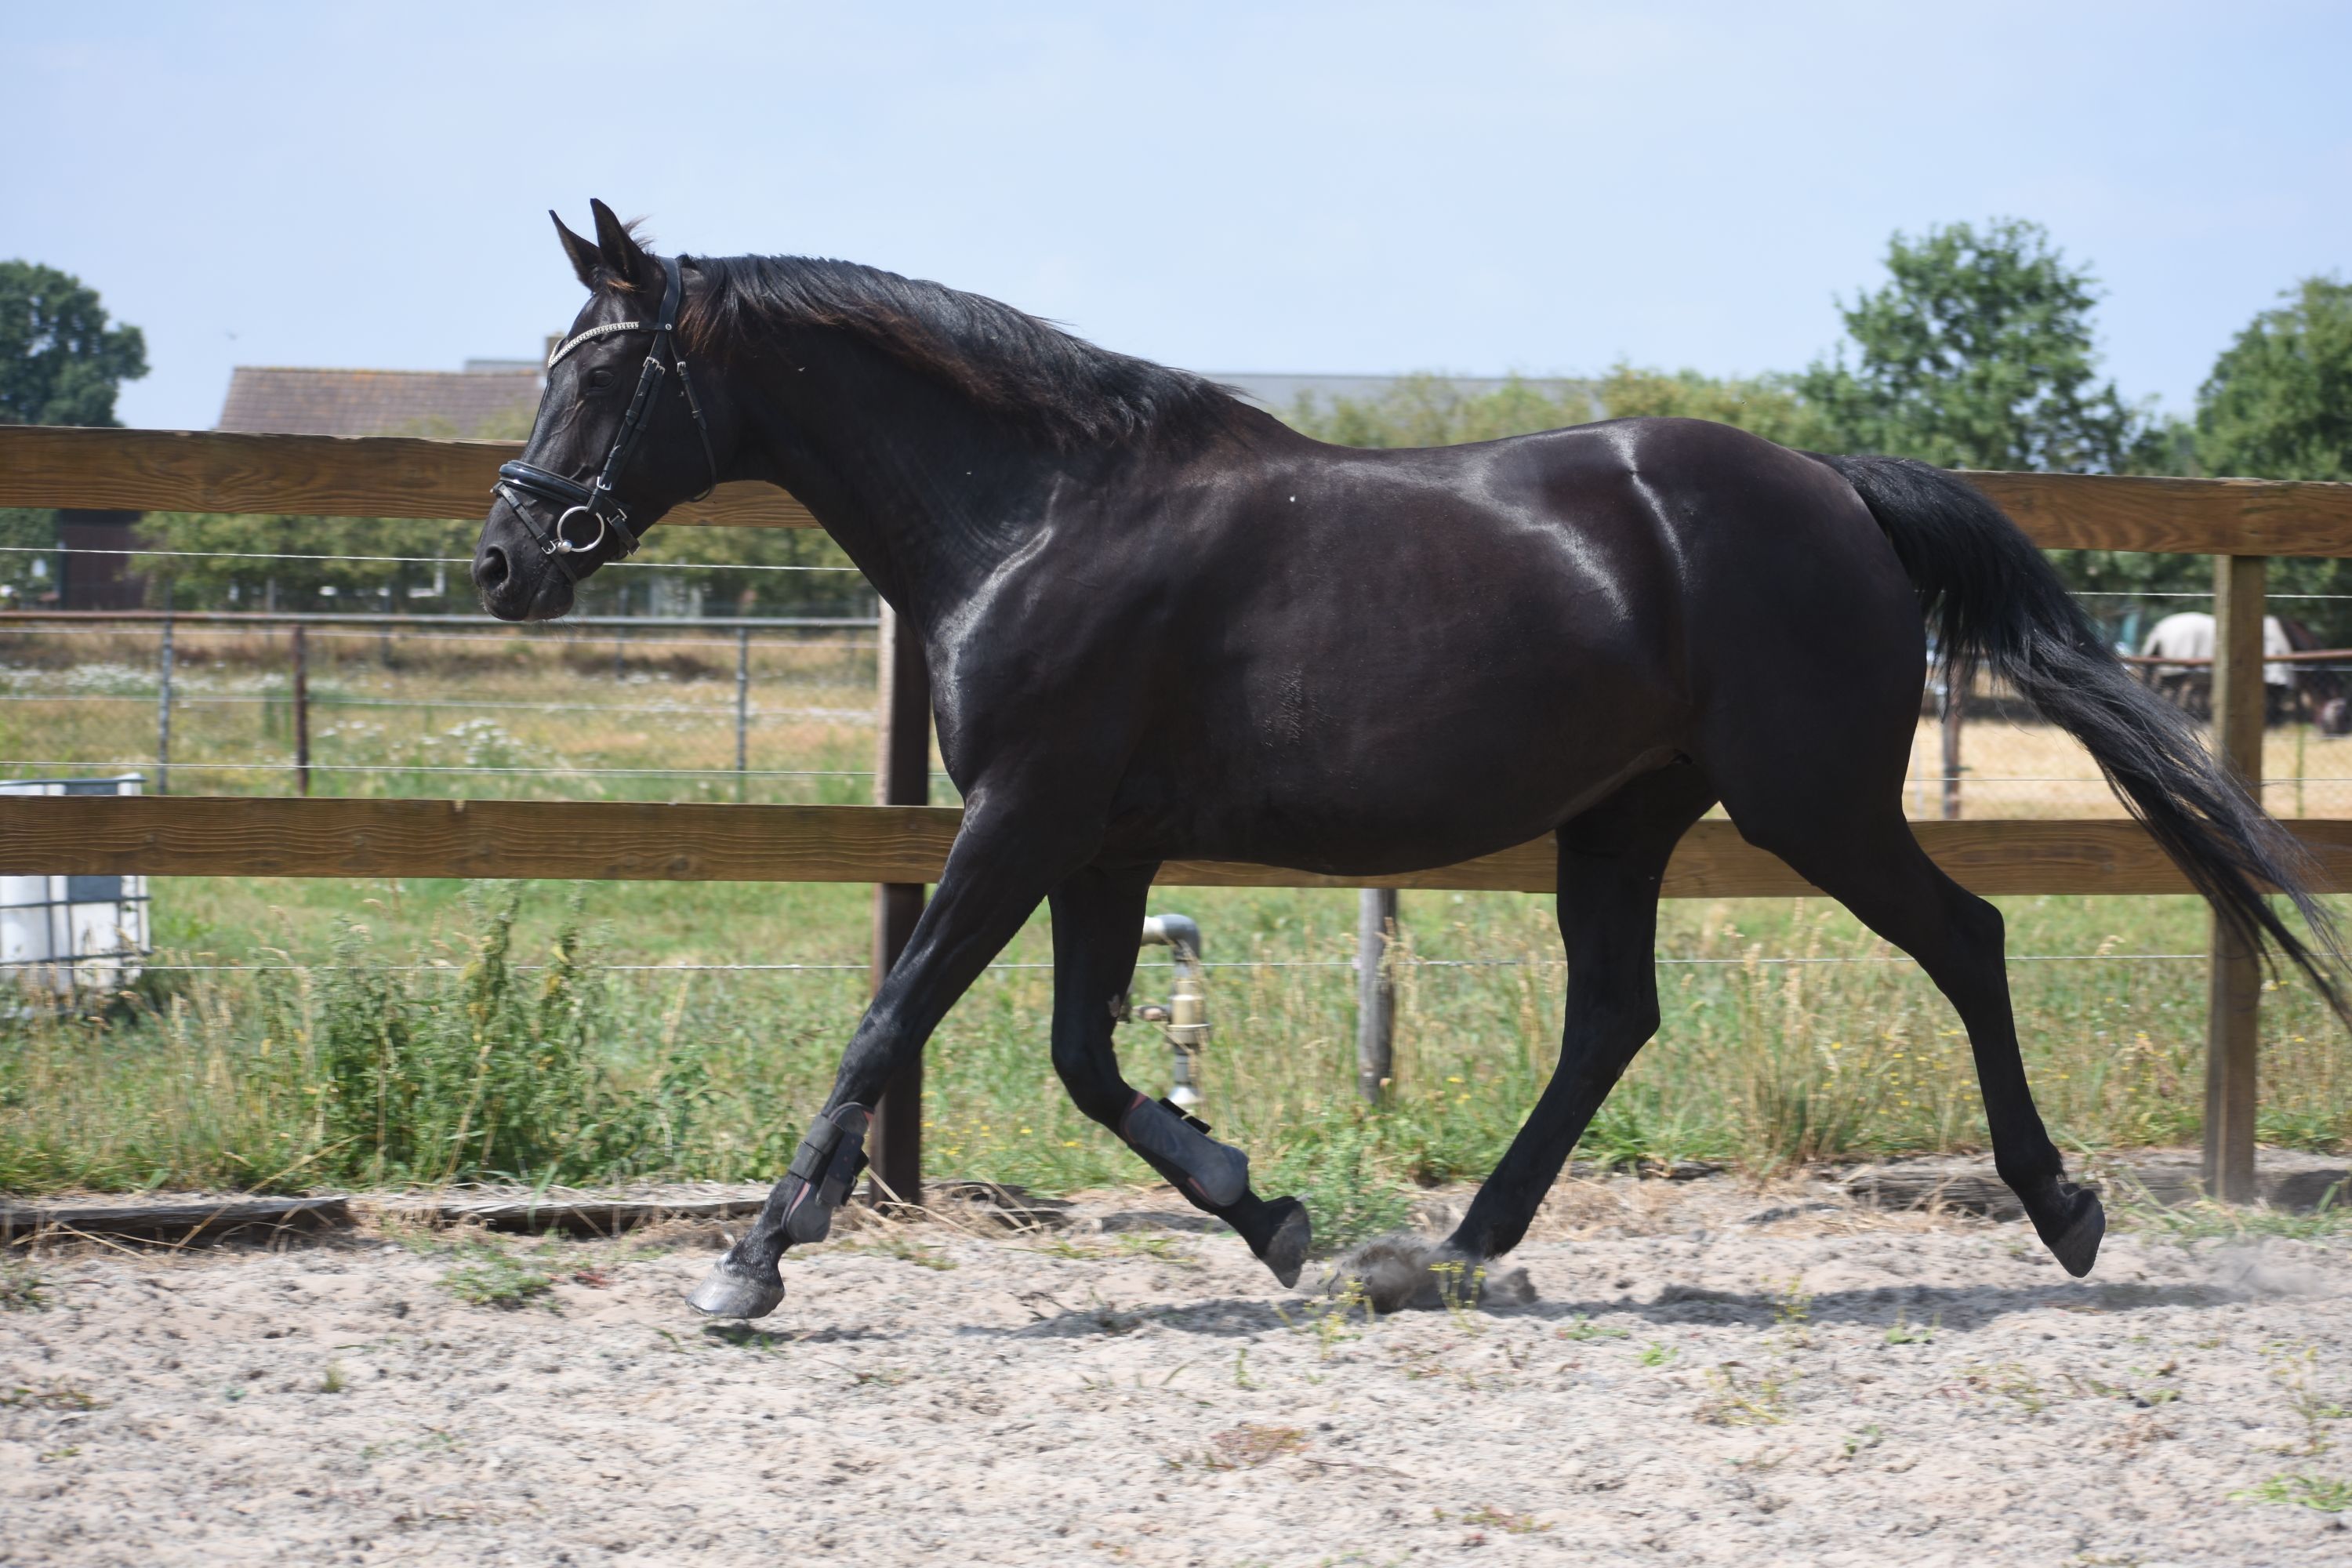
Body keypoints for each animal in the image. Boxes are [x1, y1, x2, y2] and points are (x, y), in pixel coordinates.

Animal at [474, 202, 2344, 1318]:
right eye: (552, 361)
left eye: (611, 371)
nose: (504, 562)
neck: (1041, 514)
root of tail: (1835, 487)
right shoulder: (1098, 843)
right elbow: (1083, 1059)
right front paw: (1273, 1213)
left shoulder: (1024, 817)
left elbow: (892, 1018)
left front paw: (748, 1263)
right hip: (1625, 819)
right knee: (1614, 1019)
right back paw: (1445, 1253)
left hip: (1809, 801)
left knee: (1967, 939)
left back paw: (2063, 1211)